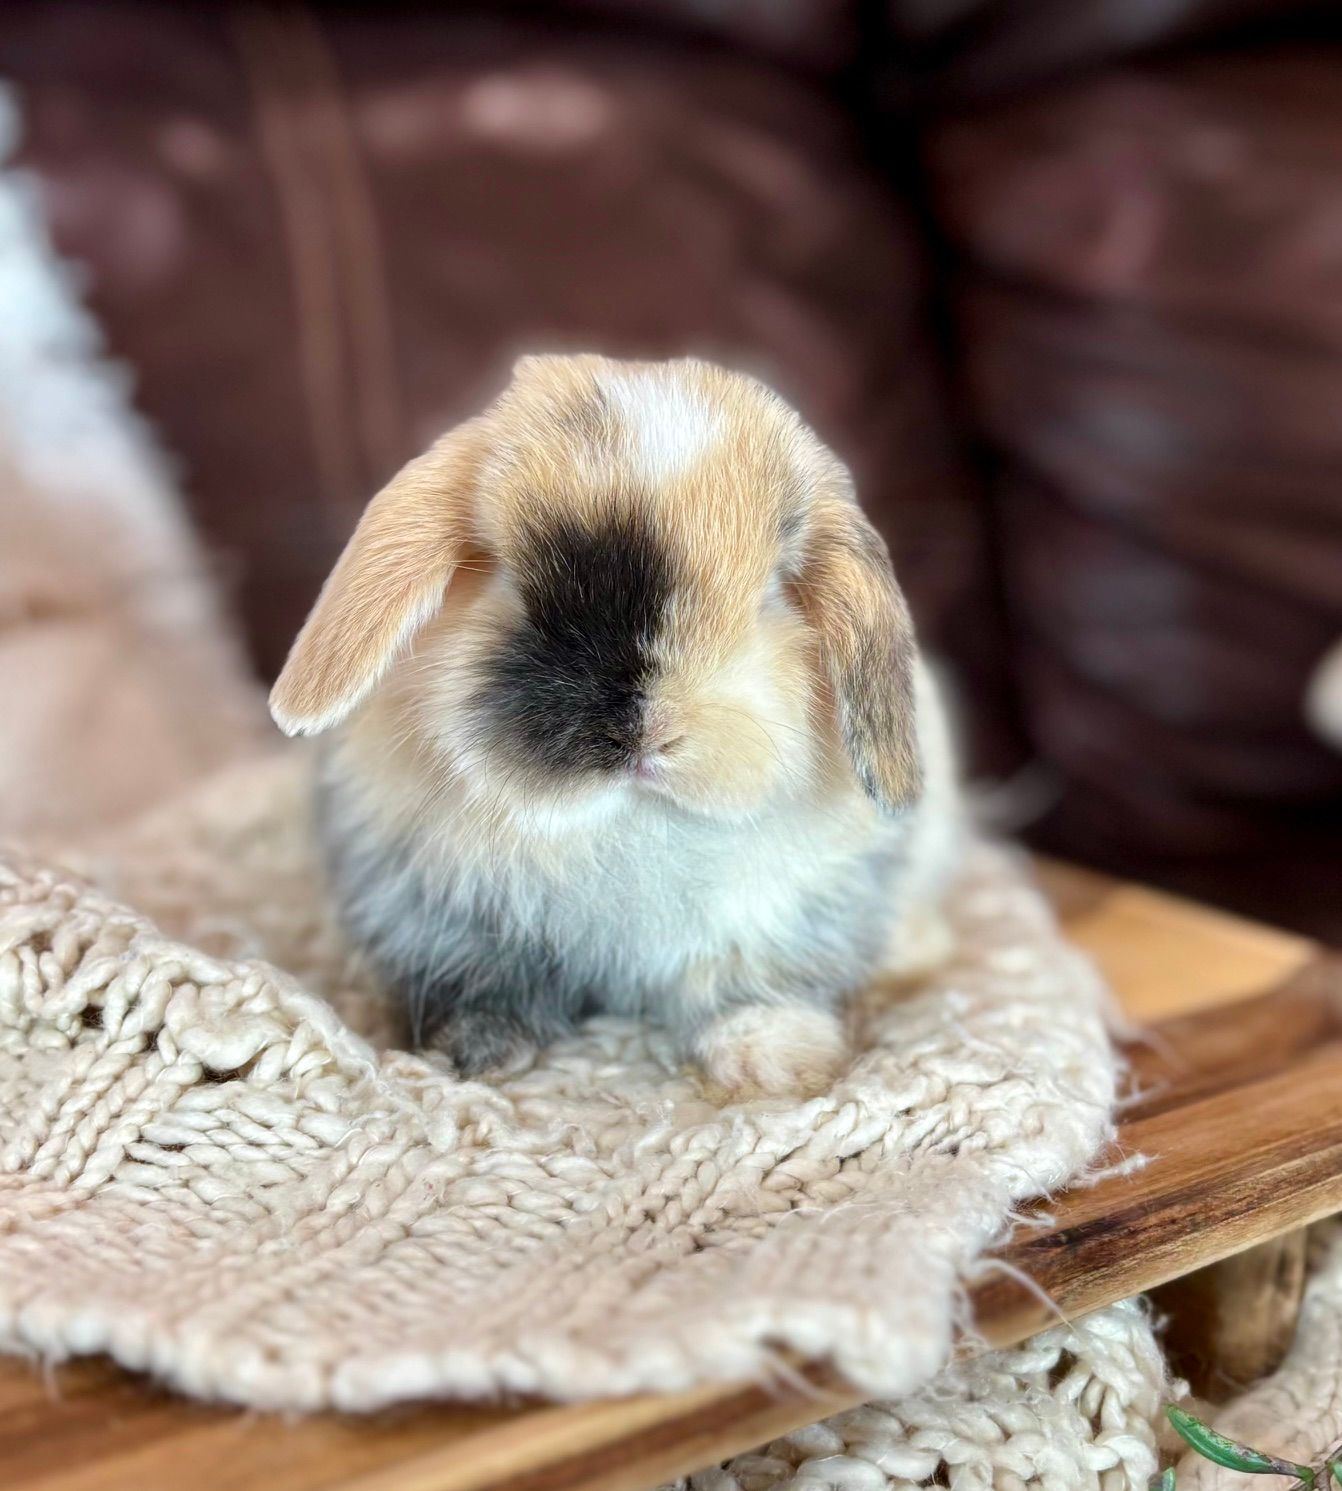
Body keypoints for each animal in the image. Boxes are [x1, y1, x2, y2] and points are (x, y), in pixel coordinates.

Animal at [270, 354, 964, 1095]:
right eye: (512, 581)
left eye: (773, 596)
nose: (647, 733)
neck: (629, 819)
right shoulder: (442, 914)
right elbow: (482, 983)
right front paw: (474, 1053)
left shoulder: (791, 912)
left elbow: (755, 982)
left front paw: (776, 1061)